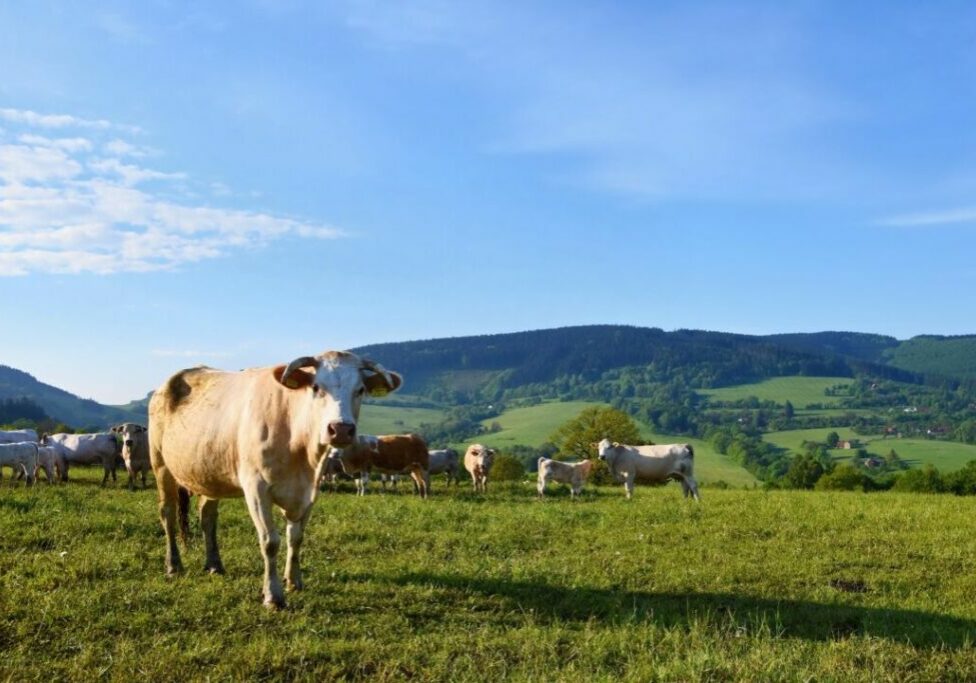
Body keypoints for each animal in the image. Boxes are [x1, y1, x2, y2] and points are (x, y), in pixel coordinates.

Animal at [148, 350, 402, 609]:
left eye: (360, 389)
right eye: (316, 387)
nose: (340, 429)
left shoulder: (309, 491)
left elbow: (296, 537)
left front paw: (294, 581)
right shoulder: (256, 489)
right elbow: (270, 541)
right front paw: (273, 595)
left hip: (210, 472)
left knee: (207, 517)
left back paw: (214, 564)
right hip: (160, 464)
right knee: (168, 514)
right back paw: (173, 565)